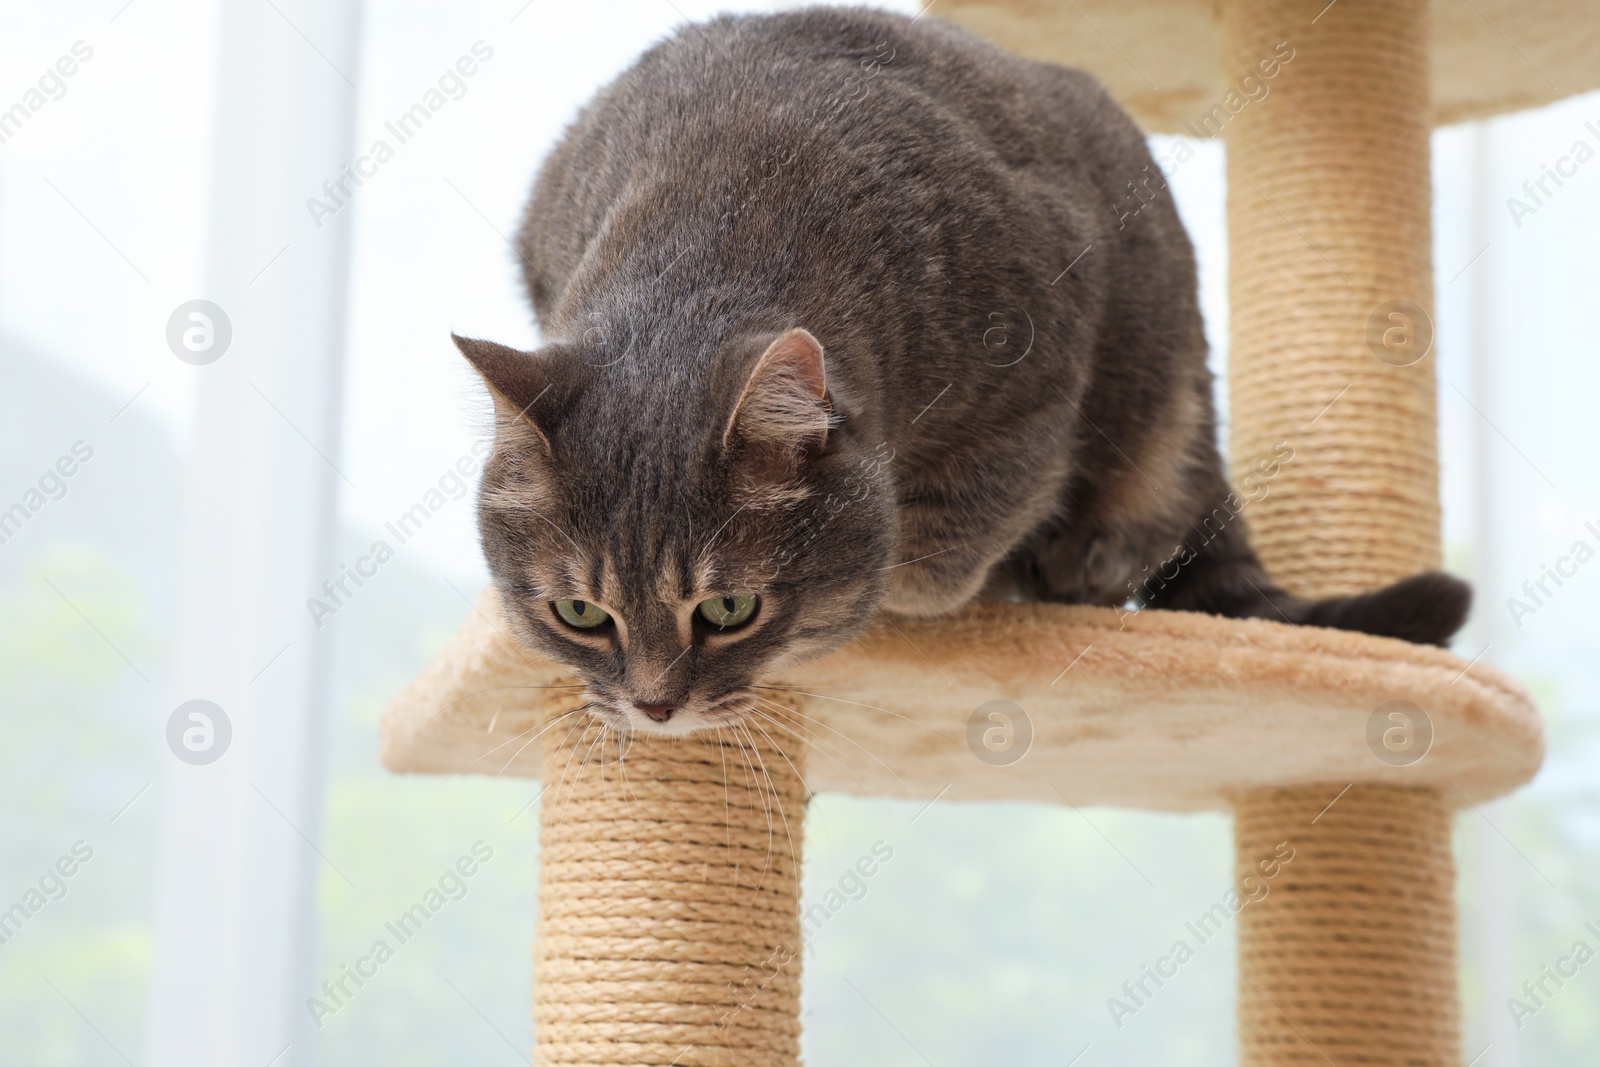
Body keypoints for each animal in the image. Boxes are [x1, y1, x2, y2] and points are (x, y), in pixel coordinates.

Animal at [457, 6, 1465, 735]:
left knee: (1162, 500)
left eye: (730, 607)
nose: (654, 707)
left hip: (1165, 383)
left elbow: (938, 551)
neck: (715, 222)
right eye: (580, 614)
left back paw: (1084, 558)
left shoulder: (1032, 380)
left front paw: (919, 576)